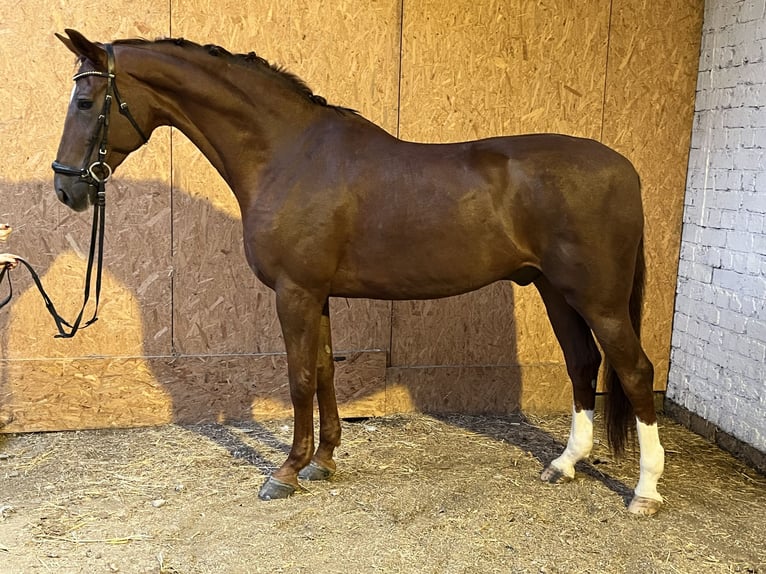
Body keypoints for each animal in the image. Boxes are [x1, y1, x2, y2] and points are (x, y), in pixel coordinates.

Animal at [54, 30, 664, 516]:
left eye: (85, 101)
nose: (66, 188)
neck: (288, 155)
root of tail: (627, 169)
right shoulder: (317, 294)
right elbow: (325, 370)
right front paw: (323, 462)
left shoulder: (295, 293)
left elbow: (301, 377)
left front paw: (286, 472)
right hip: (555, 291)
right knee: (582, 364)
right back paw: (564, 464)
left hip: (600, 300)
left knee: (635, 371)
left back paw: (645, 492)